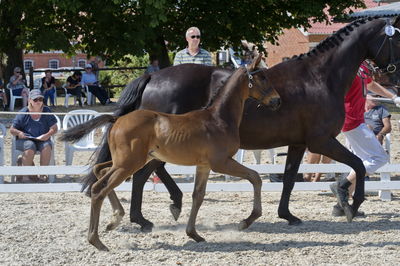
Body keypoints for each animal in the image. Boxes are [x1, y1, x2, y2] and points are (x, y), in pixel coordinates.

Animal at [61, 56, 282, 251]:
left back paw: (116, 218)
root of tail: (117, 120)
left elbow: (198, 196)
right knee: (100, 188)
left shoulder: (204, 165)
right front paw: (246, 221)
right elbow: (255, 177)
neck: (218, 118)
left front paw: (194, 234)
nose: (277, 101)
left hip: (126, 161)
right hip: (128, 164)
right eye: (262, 77)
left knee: (99, 171)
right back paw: (97, 240)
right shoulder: (221, 162)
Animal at [85, 16, 400, 232]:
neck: (319, 78)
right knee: (141, 175)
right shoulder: (321, 141)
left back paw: (168, 205)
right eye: (395, 39)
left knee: (150, 173)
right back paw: (145, 218)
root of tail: (153, 76)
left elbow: (289, 178)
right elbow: (358, 165)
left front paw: (288, 215)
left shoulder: (298, 143)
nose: (394, 74)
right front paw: (351, 205)